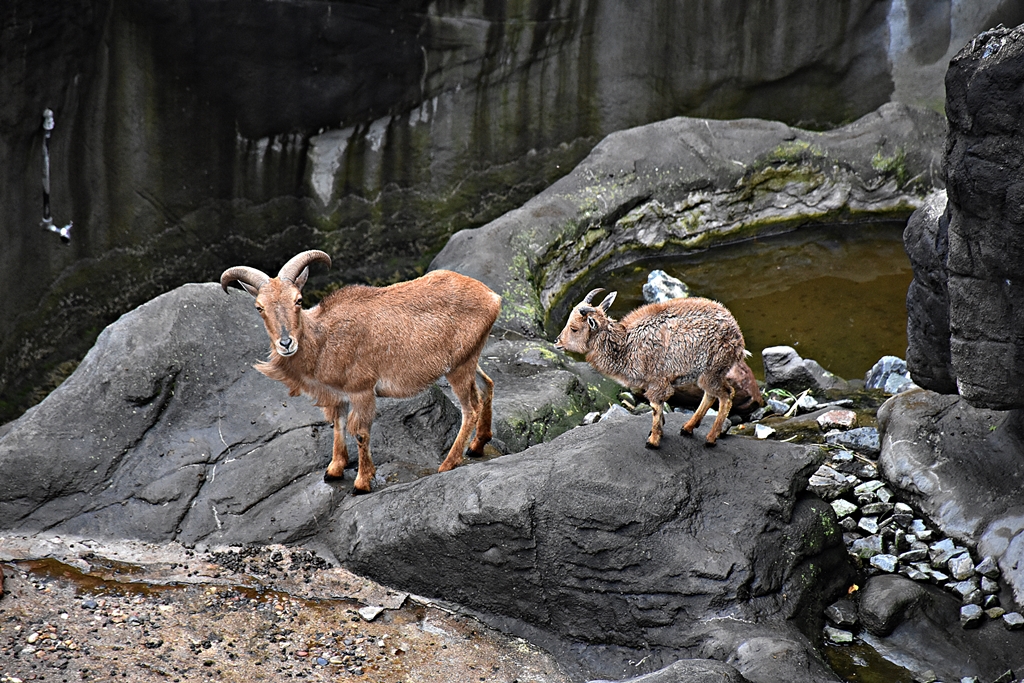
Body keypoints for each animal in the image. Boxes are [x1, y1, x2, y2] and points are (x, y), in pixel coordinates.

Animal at [221, 250, 501, 493]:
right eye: (259, 307)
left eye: (298, 300)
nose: (286, 343)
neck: (323, 338)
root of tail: (492, 297)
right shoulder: (338, 395)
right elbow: (338, 425)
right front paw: (334, 470)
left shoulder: (362, 390)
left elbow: (360, 432)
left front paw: (362, 483)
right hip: (470, 357)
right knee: (487, 384)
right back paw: (477, 445)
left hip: (459, 366)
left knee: (470, 407)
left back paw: (448, 463)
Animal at [554, 288, 748, 448]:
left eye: (574, 328)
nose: (557, 341)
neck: (626, 346)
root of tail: (737, 333)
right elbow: (659, 409)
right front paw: (657, 432)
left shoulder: (658, 381)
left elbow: (655, 406)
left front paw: (653, 441)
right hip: (706, 374)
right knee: (710, 394)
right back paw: (687, 428)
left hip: (713, 369)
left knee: (726, 394)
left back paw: (710, 438)